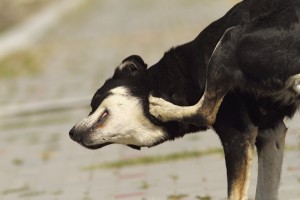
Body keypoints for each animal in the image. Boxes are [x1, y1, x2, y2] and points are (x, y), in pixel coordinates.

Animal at [68, 0, 300, 199]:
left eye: (94, 102)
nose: (70, 133)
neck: (173, 80)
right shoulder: (271, 134)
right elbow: (265, 191)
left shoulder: (238, 135)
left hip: (230, 39)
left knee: (205, 113)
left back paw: (162, 108)